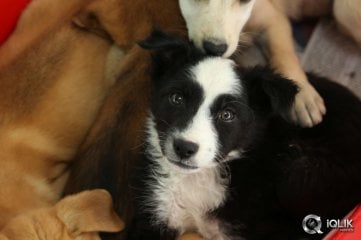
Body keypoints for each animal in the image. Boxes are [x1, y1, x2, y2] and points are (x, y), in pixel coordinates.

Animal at [127, 31, 361, 240]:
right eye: (176, 98)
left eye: (227, 115)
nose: (184, 148)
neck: (199, 178)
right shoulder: (157, 209)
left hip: (300, 171)